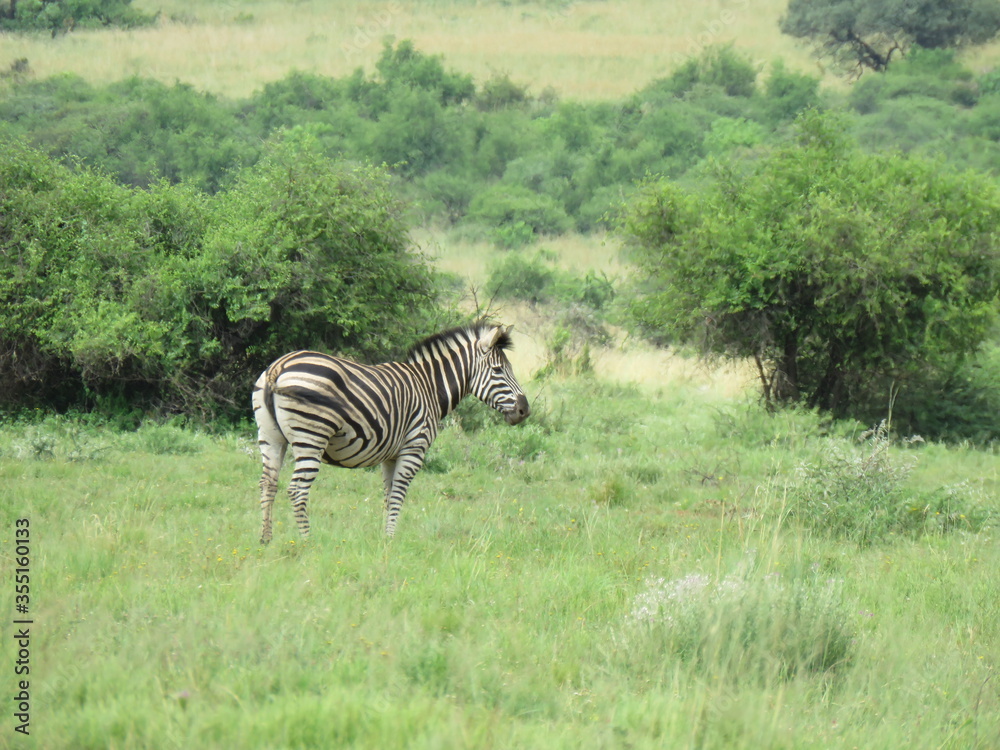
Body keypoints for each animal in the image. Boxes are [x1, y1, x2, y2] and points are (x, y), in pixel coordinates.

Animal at [252, 321, 530, 542]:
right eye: (498, 370)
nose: (524, 410)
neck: (429, 387)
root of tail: (280, 366)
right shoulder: (414, 448)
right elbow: (398, 495)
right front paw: (392, 540)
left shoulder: (390, 455)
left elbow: (387, 495)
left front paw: (383, 537)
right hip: (312, 436)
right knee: (297, 490)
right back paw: (307, 542)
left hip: (270, 437)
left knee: (268, 483)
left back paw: (266, 539)